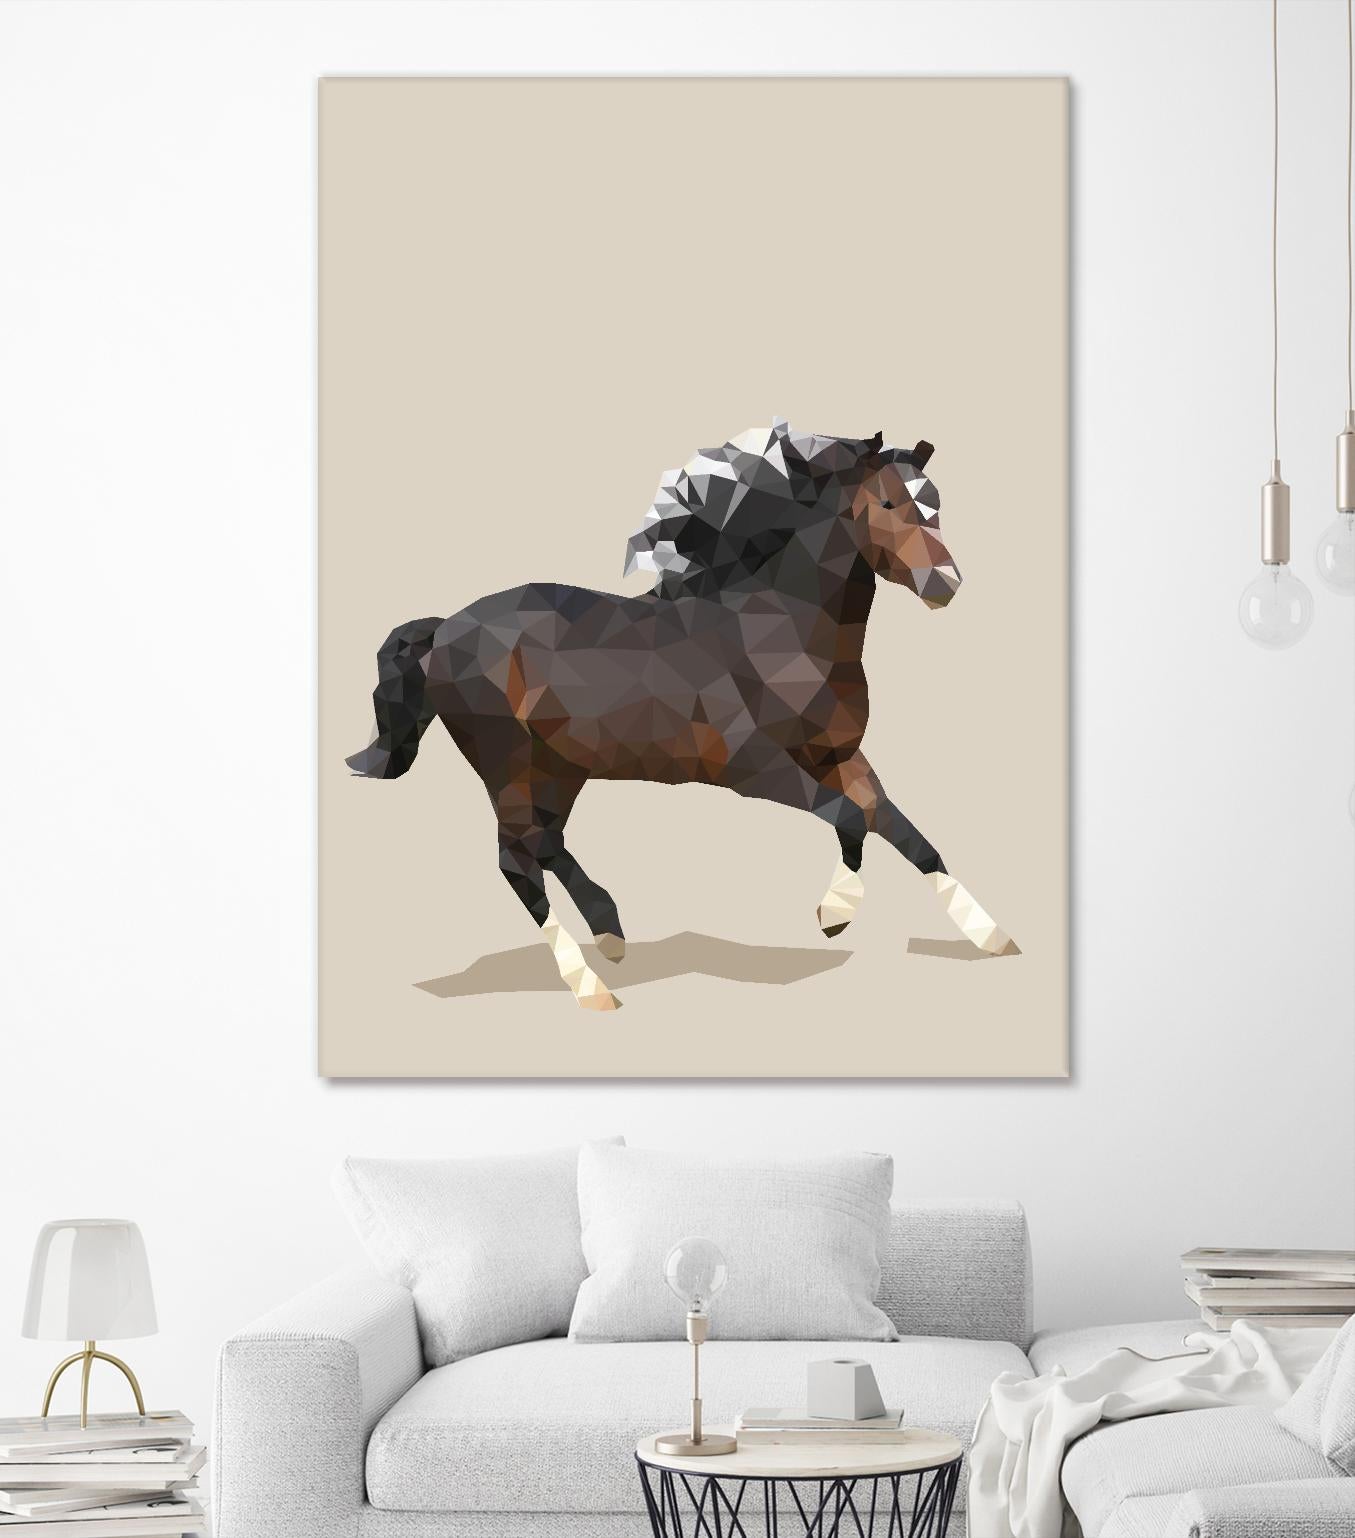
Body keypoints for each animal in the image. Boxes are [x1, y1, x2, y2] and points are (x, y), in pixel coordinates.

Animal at [346, 418, 1019, 1010]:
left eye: (935, 502)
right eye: (886, 502)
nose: (945, 583)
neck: (780, 630)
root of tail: (444, 629)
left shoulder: (837, 752)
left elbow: (899, 829)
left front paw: (990, 936)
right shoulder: (754, 768)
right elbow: (852, 815)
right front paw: (837, 916)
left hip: (559, 766)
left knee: (546, 841)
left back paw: (612, 935)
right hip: (505, 763)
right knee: (516, 857)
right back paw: (593, 990)